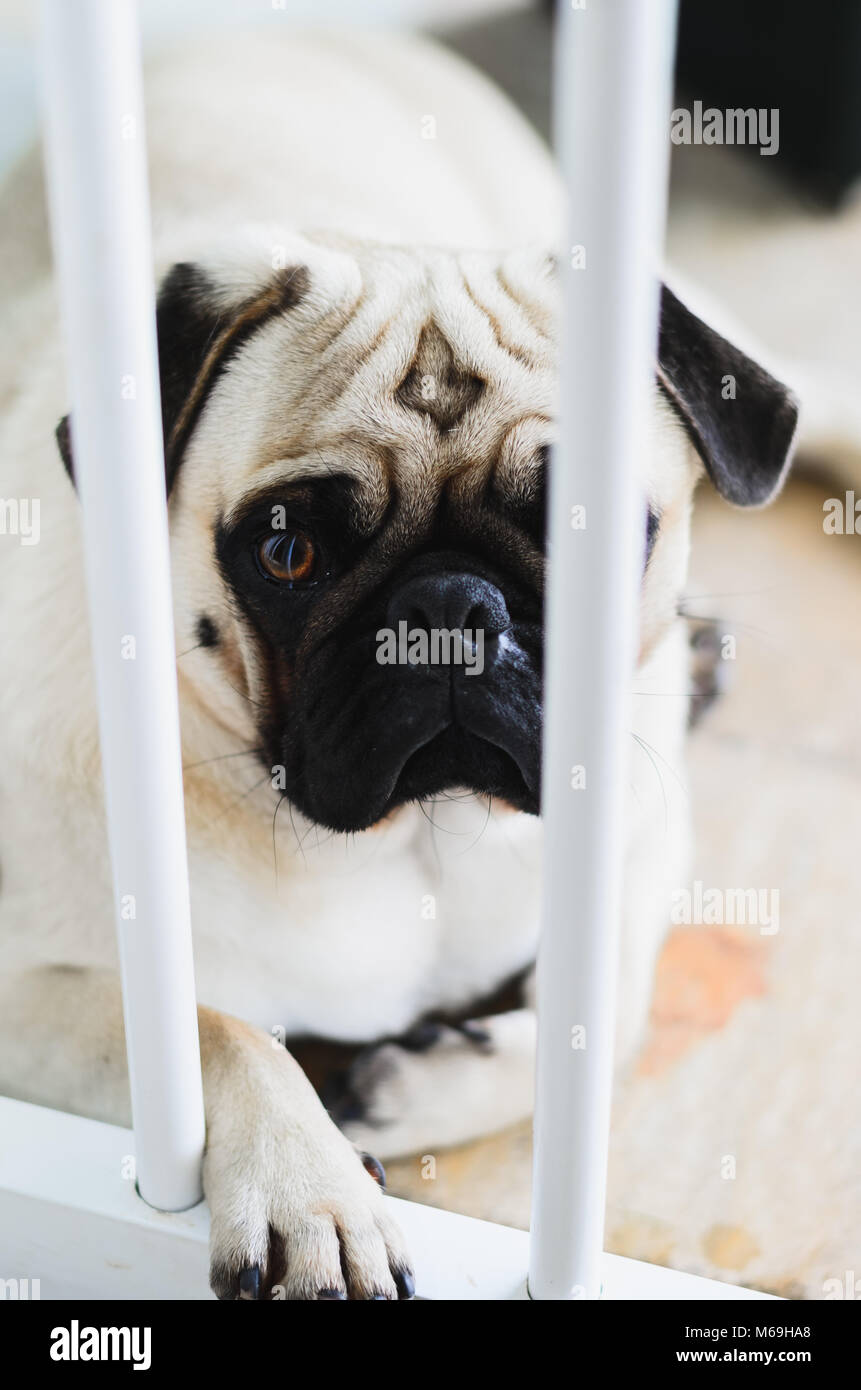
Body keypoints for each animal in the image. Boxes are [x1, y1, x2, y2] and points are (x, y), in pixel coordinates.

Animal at [0, 27, 801, 1295]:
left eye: (596, 534)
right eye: (287, 550)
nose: (450, 606)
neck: (417, 837)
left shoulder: (642, 834)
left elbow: (609, 1010)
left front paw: (413, 1083)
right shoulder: (28, 995)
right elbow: (215, 1027)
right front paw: (312, 1186)